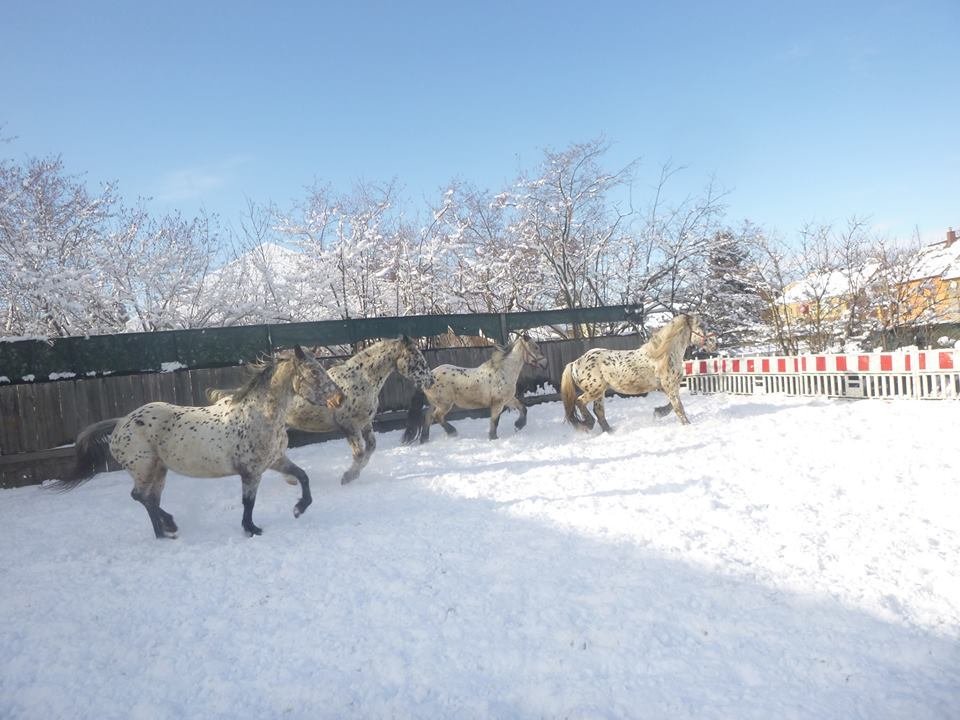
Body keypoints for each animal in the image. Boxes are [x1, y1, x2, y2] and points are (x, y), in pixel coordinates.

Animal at [51, 346, 344, 536]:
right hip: (144, 469)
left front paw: (299, 508)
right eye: (314, 372)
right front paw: (251, 529)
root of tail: (121, 422)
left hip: (159, 470)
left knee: (150, 499)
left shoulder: (276, 461)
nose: (340, 398)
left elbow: (303, 476)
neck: (259, 415)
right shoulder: (251, 472)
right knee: (141, 497)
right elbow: (248, 503)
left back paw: (169, 526)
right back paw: (163, 533)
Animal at [400, 334, 548, 444]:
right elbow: (495, 421)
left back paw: (425, 439)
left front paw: (518, 425)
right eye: (535, 347)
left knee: (428, 416)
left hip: (434, 403)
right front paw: (493, 437)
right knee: (437, 416)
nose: (544, 363)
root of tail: (429, 375)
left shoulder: (508, 399)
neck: (503, 371)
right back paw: (452, 432)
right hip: (444, 404)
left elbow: (523, 409)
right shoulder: (498, 403)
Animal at [560, 312, 708, 430]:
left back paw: (609, 431)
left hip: (599, 392)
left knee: (598, 411)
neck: (663, 354)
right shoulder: (669, 386)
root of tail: (575, 363)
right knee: (580, 402)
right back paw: (588, 423)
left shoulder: (667, 388)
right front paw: (687, 424)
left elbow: (672, 405)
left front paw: (659, 412)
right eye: (700, 325)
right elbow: (678, 407)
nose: (710, 342)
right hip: (595, 390)